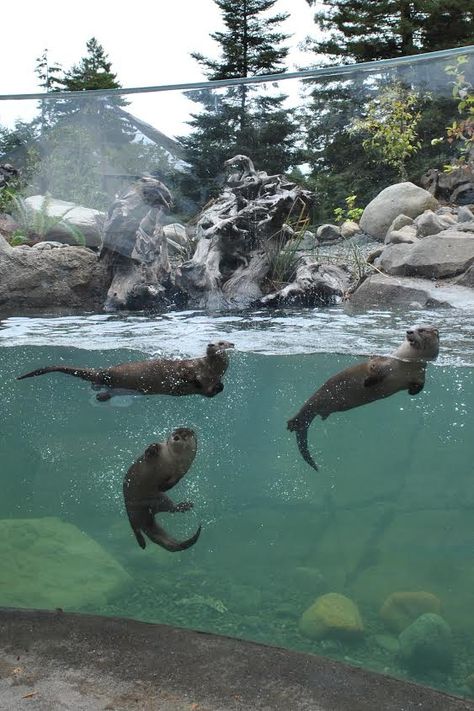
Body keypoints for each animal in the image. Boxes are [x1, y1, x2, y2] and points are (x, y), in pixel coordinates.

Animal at [16, 342, 235, 404]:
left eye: (221, 343)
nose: (210, 345)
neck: (206, 368)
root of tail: (101, 372)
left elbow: (213, 390)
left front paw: (219, 387)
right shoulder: (190, 367)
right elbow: (185, 374)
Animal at [288, 324, 440, 470]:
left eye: (421, 330)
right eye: (412, 326)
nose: (409, 332)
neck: (406, 363)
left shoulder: (419, 375)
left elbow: (419, 387)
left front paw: (412, 392)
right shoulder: (382, 363)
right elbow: (373, 370)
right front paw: (368, 382)